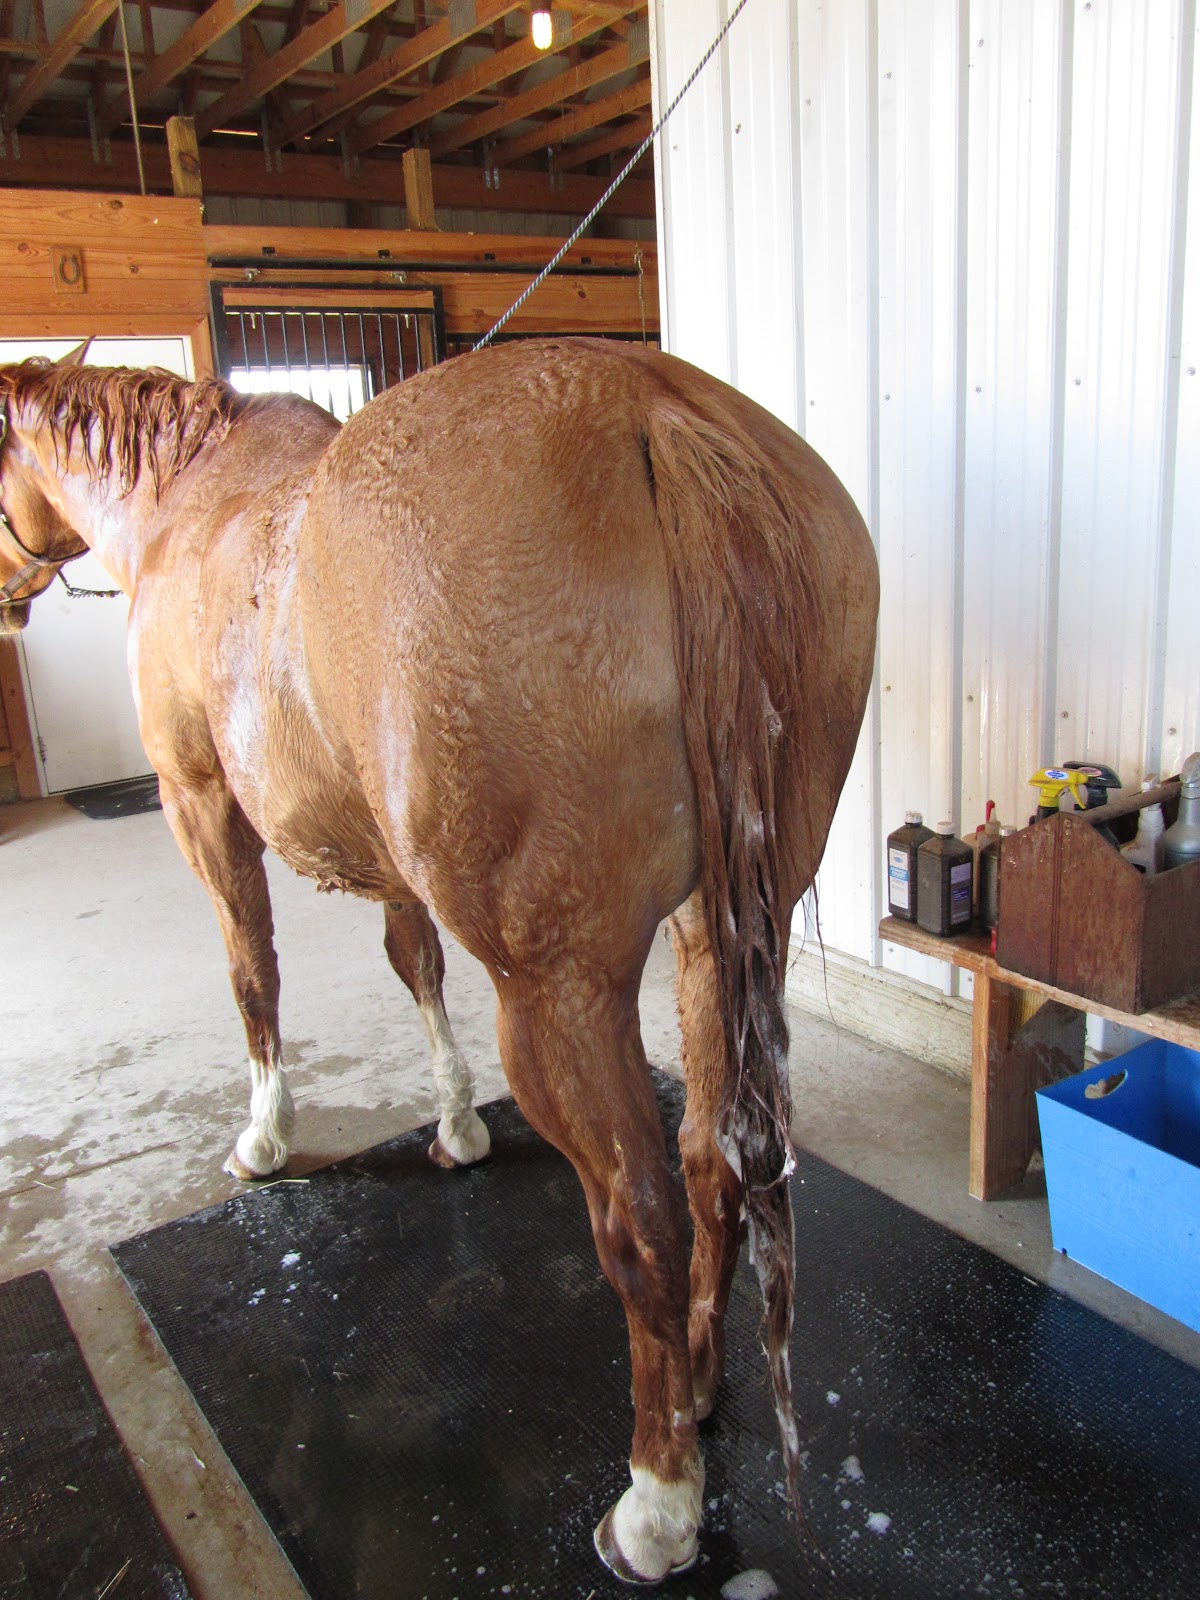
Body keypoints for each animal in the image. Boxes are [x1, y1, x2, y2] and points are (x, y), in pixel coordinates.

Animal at [0, 338, 878, 1584]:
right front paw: (458, 1122)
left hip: (563, 993)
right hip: (715, 932)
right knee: (711, 1160)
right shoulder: (387, 859)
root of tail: (652, 414)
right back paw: (703, 1390)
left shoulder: (200, 806)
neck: (187, 503)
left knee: (642, 1218)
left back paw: (656, 1505)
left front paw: (264, 1136)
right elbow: (413, 963)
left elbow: (253, 974)